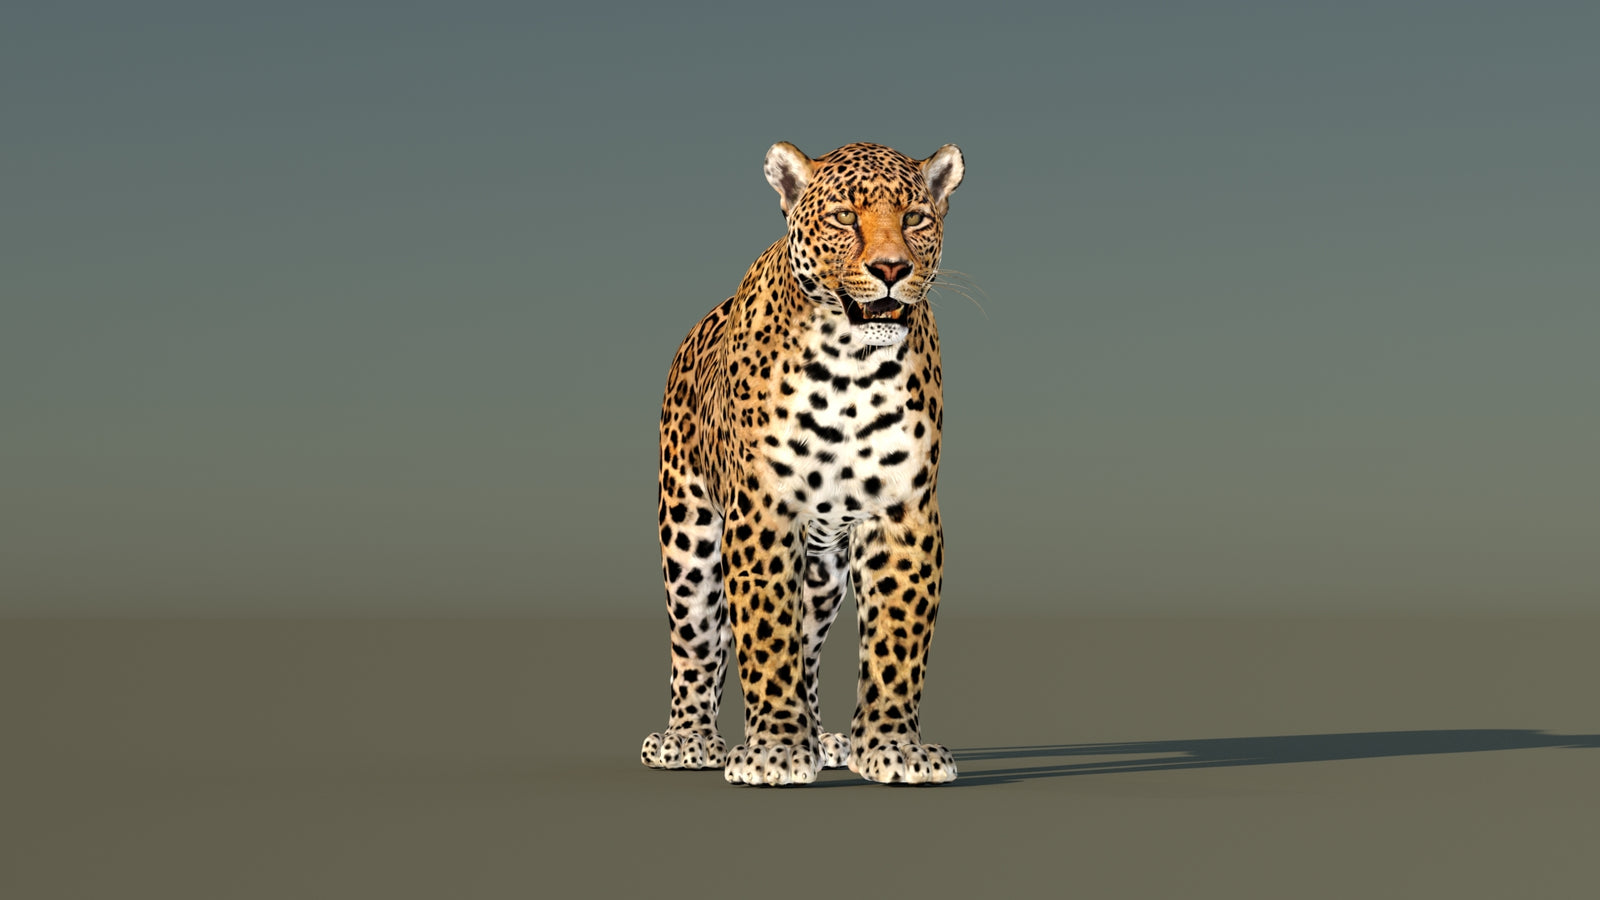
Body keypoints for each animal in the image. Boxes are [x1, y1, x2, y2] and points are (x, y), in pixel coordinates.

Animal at [640, 141, 965, 786]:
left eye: (916, 217)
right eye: (843, 217)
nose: (892, 269)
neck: (852, 367)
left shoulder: (904, 513)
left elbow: (897, 639)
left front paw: (892, 748)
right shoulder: (763, 513)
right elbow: (766, 637)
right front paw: (774, 751)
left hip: (823, 568)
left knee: (809, 645)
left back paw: (823, 739)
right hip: (687, 534)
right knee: (695, 641)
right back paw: (688, 740)